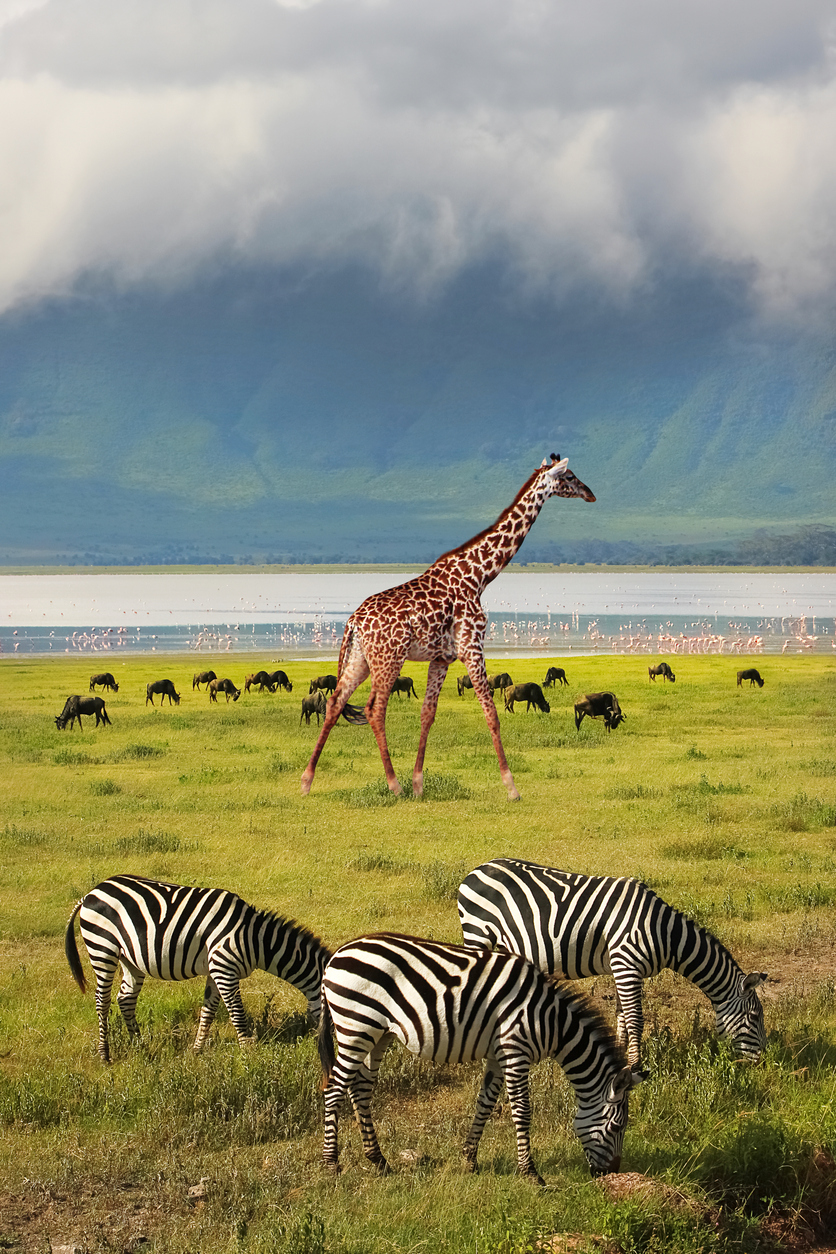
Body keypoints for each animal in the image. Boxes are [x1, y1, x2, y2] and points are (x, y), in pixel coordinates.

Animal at [65, 874, 331, 1063]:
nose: (330, 1047)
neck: (254, 939)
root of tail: (91, 892)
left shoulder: (217, 971)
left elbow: (208, 1011)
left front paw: (196, 1051)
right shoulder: (224, 967)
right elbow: (237, 1013)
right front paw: (249, 1058)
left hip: (129, 958)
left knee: (125, 998)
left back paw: (140, 1046)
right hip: (102, 948)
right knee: (102, 1001)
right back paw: (105, 1055)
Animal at [300, 454, 595, 801]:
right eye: (570, 476)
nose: (590, 493)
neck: (480, 574)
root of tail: (354, 621)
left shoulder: (442, 658)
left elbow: (428, 715)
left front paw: (419, 784)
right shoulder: (472, 647)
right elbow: (491, 713)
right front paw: (511, 787)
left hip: (361, 659)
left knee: (335, 703)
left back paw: (307, 781)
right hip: (389, 658)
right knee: (374, 709)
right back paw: (393, 784)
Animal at [318, 932, 635, 1185]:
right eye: (617, 1127)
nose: (610, 1173)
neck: (549, 1021)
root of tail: (335, 958)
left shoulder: (498, 1055)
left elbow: (485, 1103)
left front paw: (469, 1159)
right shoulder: (516, 1051)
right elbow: (522, 1111)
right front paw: (531, 1173)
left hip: (377, 1034)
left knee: (360, 1089)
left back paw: (378, 1161)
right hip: (356, 1027)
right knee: (334, 1089)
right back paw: (331, 1164)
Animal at [457, 859, 767, 1071]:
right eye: (754, 1017)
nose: (763, 1060)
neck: (663, 933)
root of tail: (476, 870)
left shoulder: (623, 969)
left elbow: (622, 1016)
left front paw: (619, 1054)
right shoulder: (627, 964)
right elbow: (635, 1019)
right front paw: (637, 1066)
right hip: (478, 934)